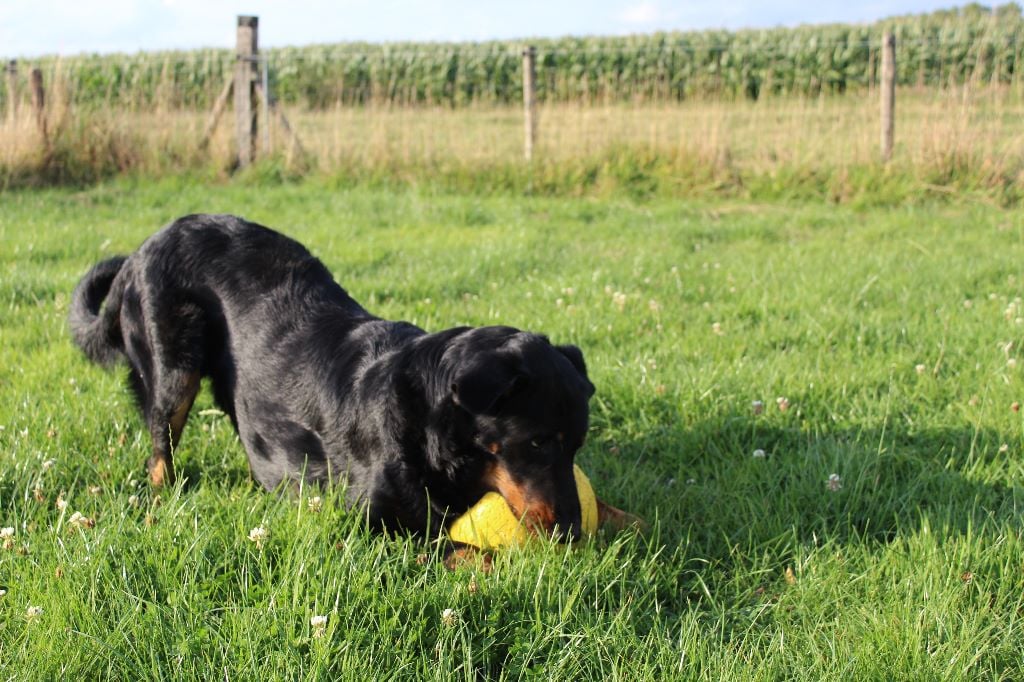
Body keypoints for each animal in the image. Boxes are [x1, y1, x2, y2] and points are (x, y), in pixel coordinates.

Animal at [68, 214, 630, 548]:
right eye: (535, 443)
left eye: (575, 448)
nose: (572, 531)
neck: (427, 427)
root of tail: (139, 252)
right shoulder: (376, 525)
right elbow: (466, 548)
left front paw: (627, 521)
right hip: (173, 368)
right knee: (159, 448)